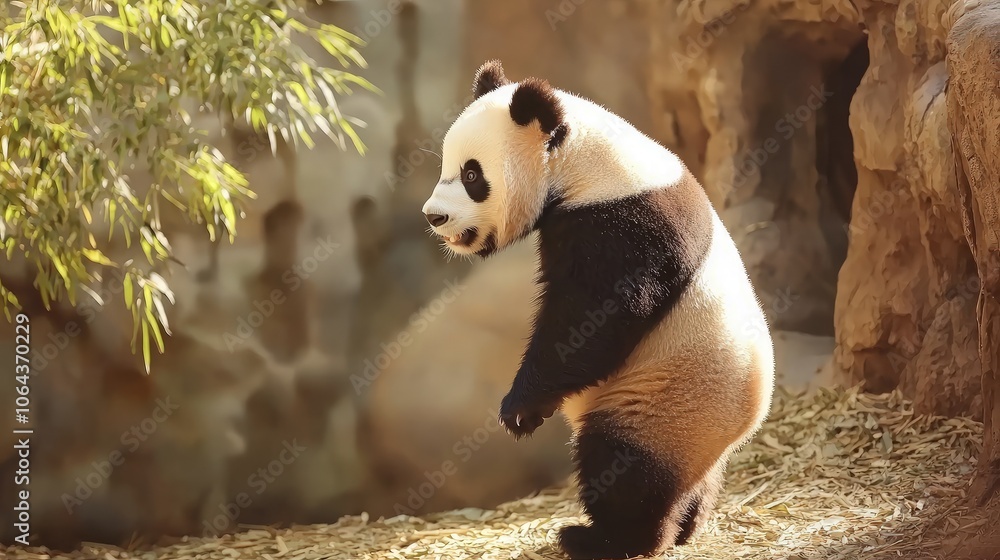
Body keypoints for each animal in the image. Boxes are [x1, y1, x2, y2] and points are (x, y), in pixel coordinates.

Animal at [421, 60, 775, 560]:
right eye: (446, 166)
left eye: (472, 175)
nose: (434, 216)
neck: (587, 163)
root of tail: (747, 422)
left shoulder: (623, 223)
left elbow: (596, 316)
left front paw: (521, 410)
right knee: (691, 481)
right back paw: (687, 526)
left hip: (666, 399)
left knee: (622, 466)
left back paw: (607, 538)